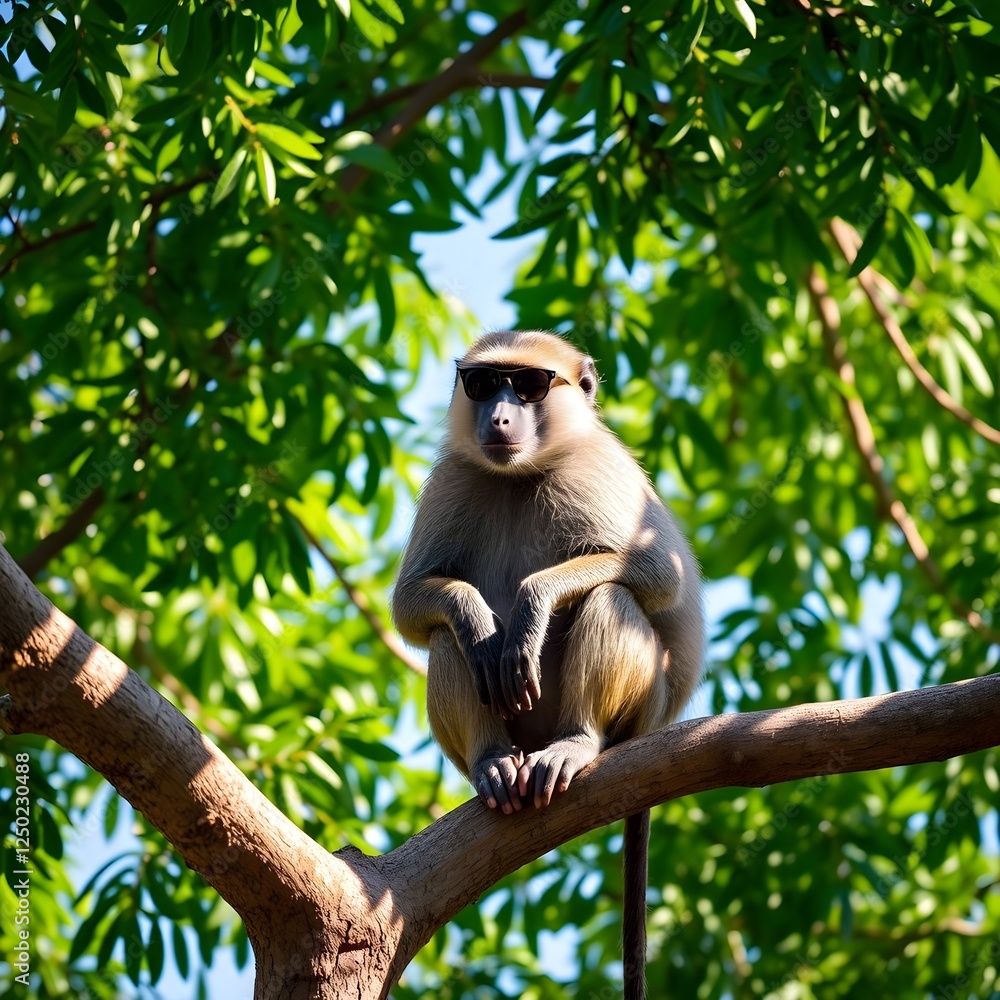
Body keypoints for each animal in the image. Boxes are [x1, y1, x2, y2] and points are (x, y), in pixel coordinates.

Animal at [391, 330, 704, 1000]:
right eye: (485, 384)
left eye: (529, 385)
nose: (499, 417)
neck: (520, 476)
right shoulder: (455, 478)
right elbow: (412, 608)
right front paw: (481, 621)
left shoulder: (595, 468)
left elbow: (660, 577)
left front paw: (532, 607)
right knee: (451, 642)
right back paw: (492, 760)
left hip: (644, 703)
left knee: (609, 596)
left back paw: (574, 743)